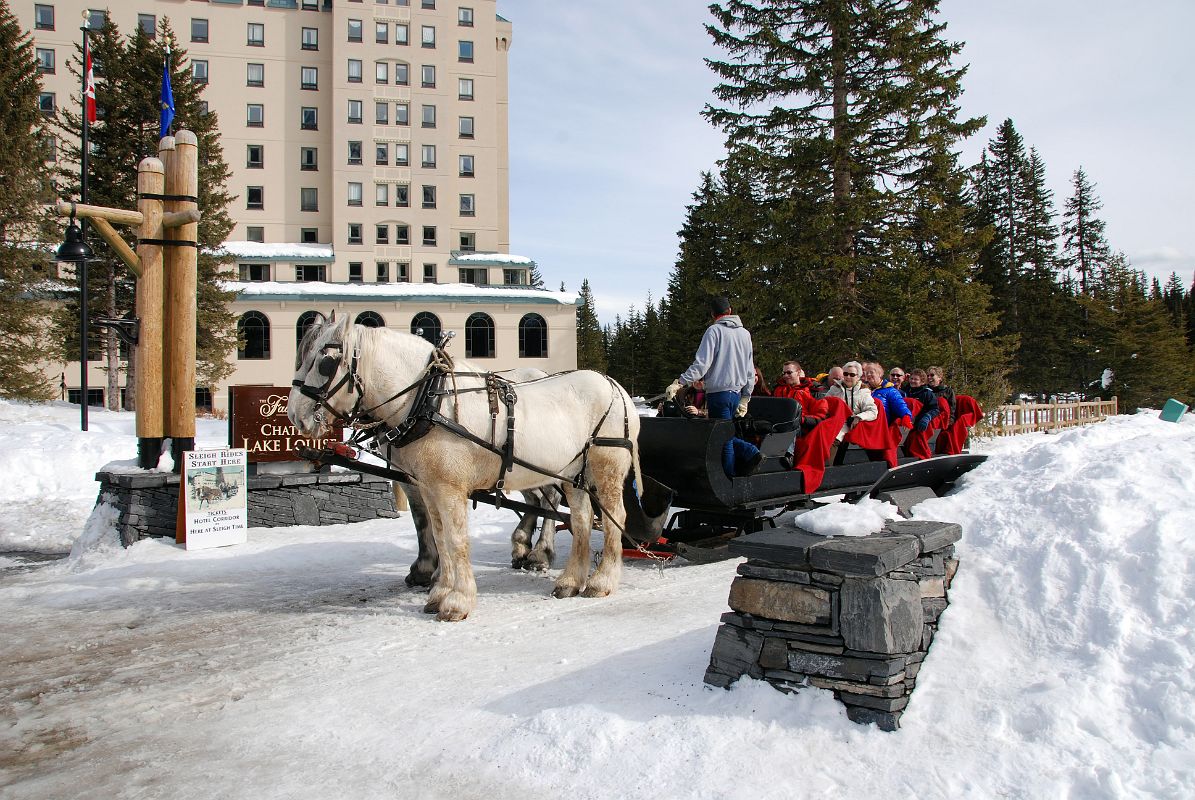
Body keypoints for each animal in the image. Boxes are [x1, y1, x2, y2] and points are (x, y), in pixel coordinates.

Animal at [290, 315, 645, 621]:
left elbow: (456, 539)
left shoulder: (448, 488)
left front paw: (457, 601)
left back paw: (600, 580)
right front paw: (439, 593)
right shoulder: (428, 486)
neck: (428, 399)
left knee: (613, 517)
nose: (295, 416)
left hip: (606, 466)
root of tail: (615, 385)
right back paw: (570, 580)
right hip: (573, 473)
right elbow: (438, 535)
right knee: (582, 519)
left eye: (324, 361)